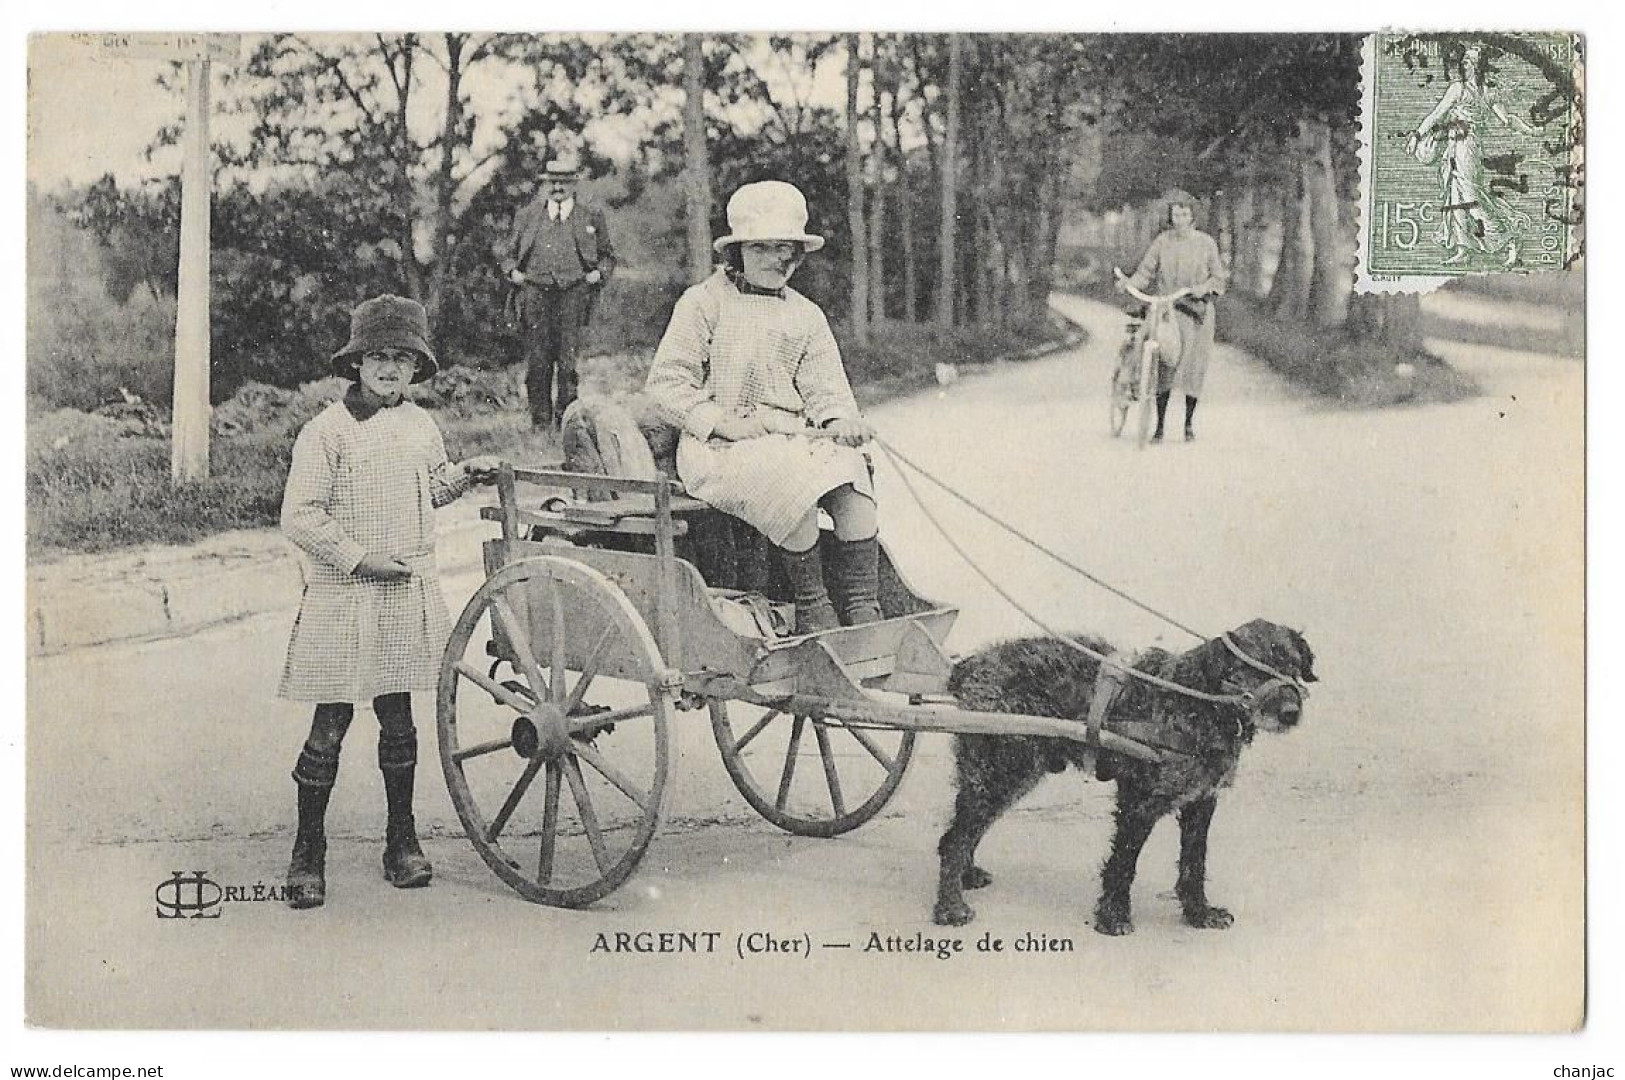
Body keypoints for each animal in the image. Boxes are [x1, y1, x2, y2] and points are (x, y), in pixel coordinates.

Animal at [936, 620, 1313, 928]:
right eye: (1254, 669)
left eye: (1293, 665)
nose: (1290, 713)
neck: (1200, 700)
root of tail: (970, 665)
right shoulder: (1138, 801)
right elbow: (1123, 863)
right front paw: (1113, 915)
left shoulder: (1201, 802)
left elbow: (1194, 863)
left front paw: (1198, 913)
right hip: (1001, 772)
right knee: (955, 839)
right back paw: (950, 908)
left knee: (964, 832)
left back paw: (966, 876)